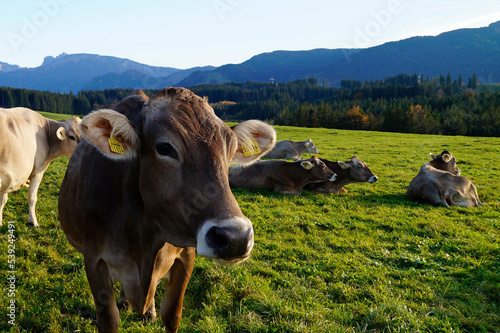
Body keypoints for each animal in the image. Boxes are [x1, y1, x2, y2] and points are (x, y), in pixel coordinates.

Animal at [58, 88, 278, 332]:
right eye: (164, 148)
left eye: (230, 151)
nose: (236, 238)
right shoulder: (94, 259)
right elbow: (109, 320)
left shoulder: (186, 255)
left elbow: (172, 315)